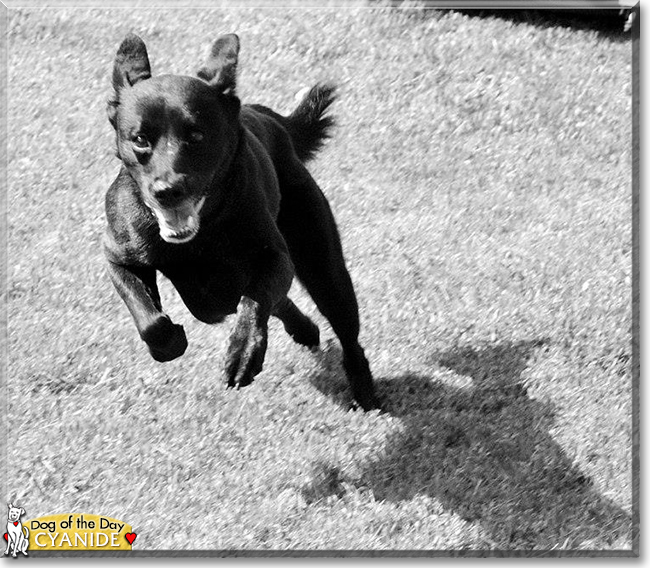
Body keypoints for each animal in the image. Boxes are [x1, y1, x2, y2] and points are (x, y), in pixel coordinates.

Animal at [100, 34, 374, 408]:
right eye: (140, 139)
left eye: (196, 136)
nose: (167, 191)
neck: (198, 239)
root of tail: (270, 118)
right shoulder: (120, 257)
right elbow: (148, 318)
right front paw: (171, 342)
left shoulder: (274, 257)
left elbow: (256, 299)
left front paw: (242, 356)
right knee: (279, 304)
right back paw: (305, 331)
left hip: (323, 266)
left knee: (347, 333)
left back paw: (366, 394)